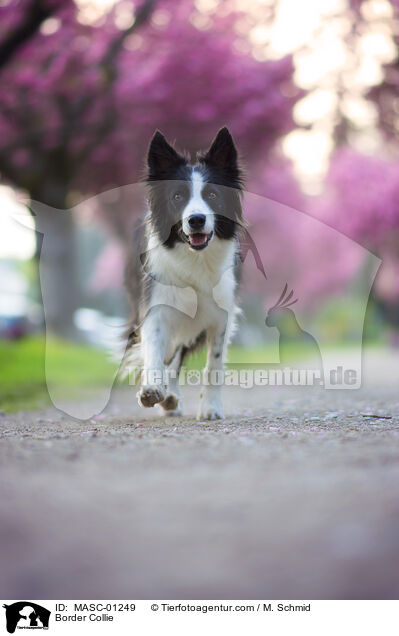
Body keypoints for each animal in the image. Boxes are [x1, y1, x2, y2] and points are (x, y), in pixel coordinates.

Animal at [125, 126, 244, 420]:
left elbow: (214, 366)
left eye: (212, 195)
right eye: (177, 197)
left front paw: (211, 408)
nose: (196, 219)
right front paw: (152, 388)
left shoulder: (220, 315)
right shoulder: (156, 305)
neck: (195, 259)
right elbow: (155, 348)